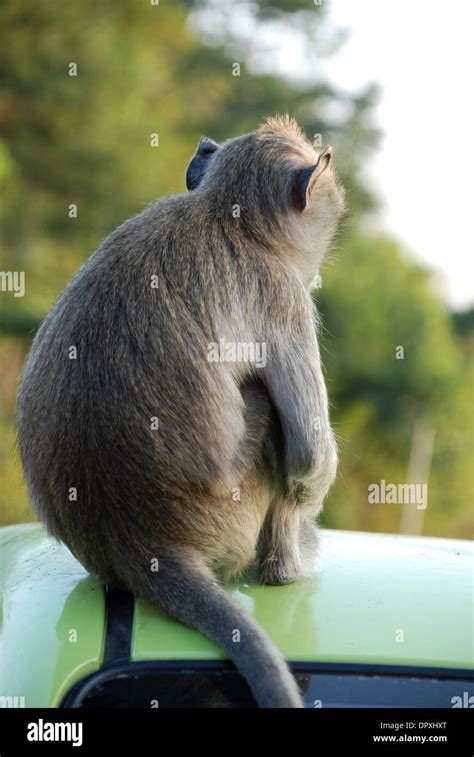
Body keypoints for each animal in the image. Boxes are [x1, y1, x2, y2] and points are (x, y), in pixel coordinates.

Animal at [16, 115, 344, 704]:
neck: (226, 219)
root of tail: (132, 541)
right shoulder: (283, 296)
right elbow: (309, 457)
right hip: (233, 506)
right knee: (265, 406)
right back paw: (285, 567)